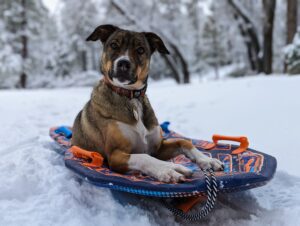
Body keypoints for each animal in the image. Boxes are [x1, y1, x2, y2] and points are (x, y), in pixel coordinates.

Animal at [72, 24, 223, 183]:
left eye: (140, 49)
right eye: (113, 45)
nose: (123, 63)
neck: (131, 98)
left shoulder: (157, 148)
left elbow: (184, 142)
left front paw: (207, 160)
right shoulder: (115, 155)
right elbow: (144, 157)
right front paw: (169, 169)